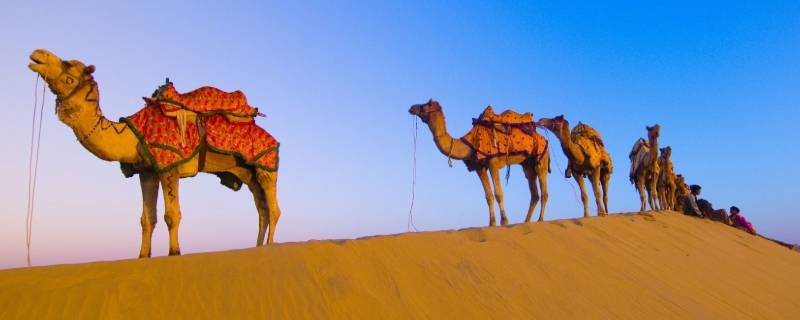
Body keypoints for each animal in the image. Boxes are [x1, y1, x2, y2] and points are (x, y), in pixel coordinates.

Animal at [27, 48, 282, 258]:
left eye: (69, 71)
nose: (37, 54)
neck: (131, 134)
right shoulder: (147, 171)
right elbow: (147, 219)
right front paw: (143, 256)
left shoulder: (169, 166)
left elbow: (172, 215)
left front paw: (174, 252)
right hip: (246, 171)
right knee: (261, 209)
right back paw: (258, 246)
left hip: (265, 164)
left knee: (273, 209)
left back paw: (270, 245)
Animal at [406, 100, 552, 225]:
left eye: (425, 105)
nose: (411, 107)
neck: (470, 143)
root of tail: (543, 138)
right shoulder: (479, 168)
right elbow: (488, 196)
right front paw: (491, 223)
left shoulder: (493, 163)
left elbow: (498, 193)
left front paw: (504, 221)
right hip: (527, 164)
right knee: (534, 192)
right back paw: (526, 222)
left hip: (541, 158)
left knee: (544, 190)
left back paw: (540, 220)